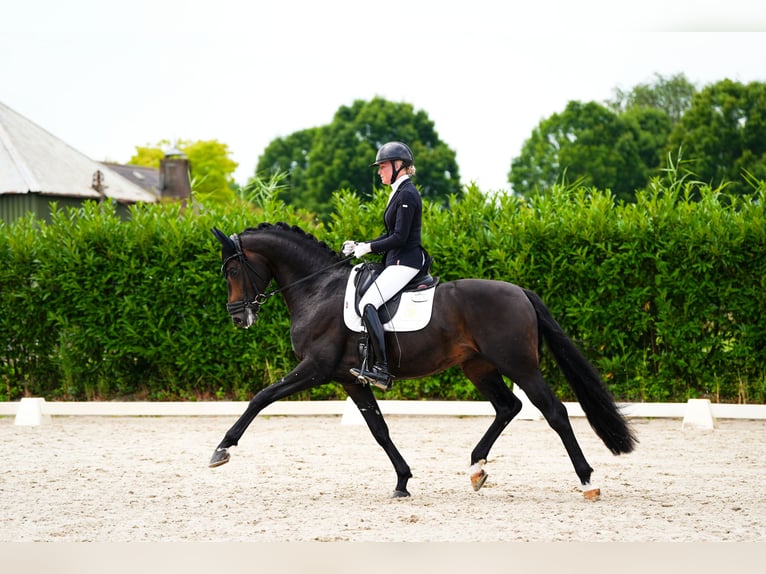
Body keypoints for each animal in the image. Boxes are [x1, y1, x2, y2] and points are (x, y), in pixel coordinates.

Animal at [208, 223, 636, 502]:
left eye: (232, 269)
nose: (238, 317)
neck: (318, 290)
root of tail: (520, 291)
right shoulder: (350, 379)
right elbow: (379, 430)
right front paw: (402, 481)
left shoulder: (316, 368)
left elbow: (261, 397)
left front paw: (222, 450)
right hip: (478, 366)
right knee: (507, 406)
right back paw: (477, 469)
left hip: (520, 366)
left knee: (554, 412)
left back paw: (587, 482)